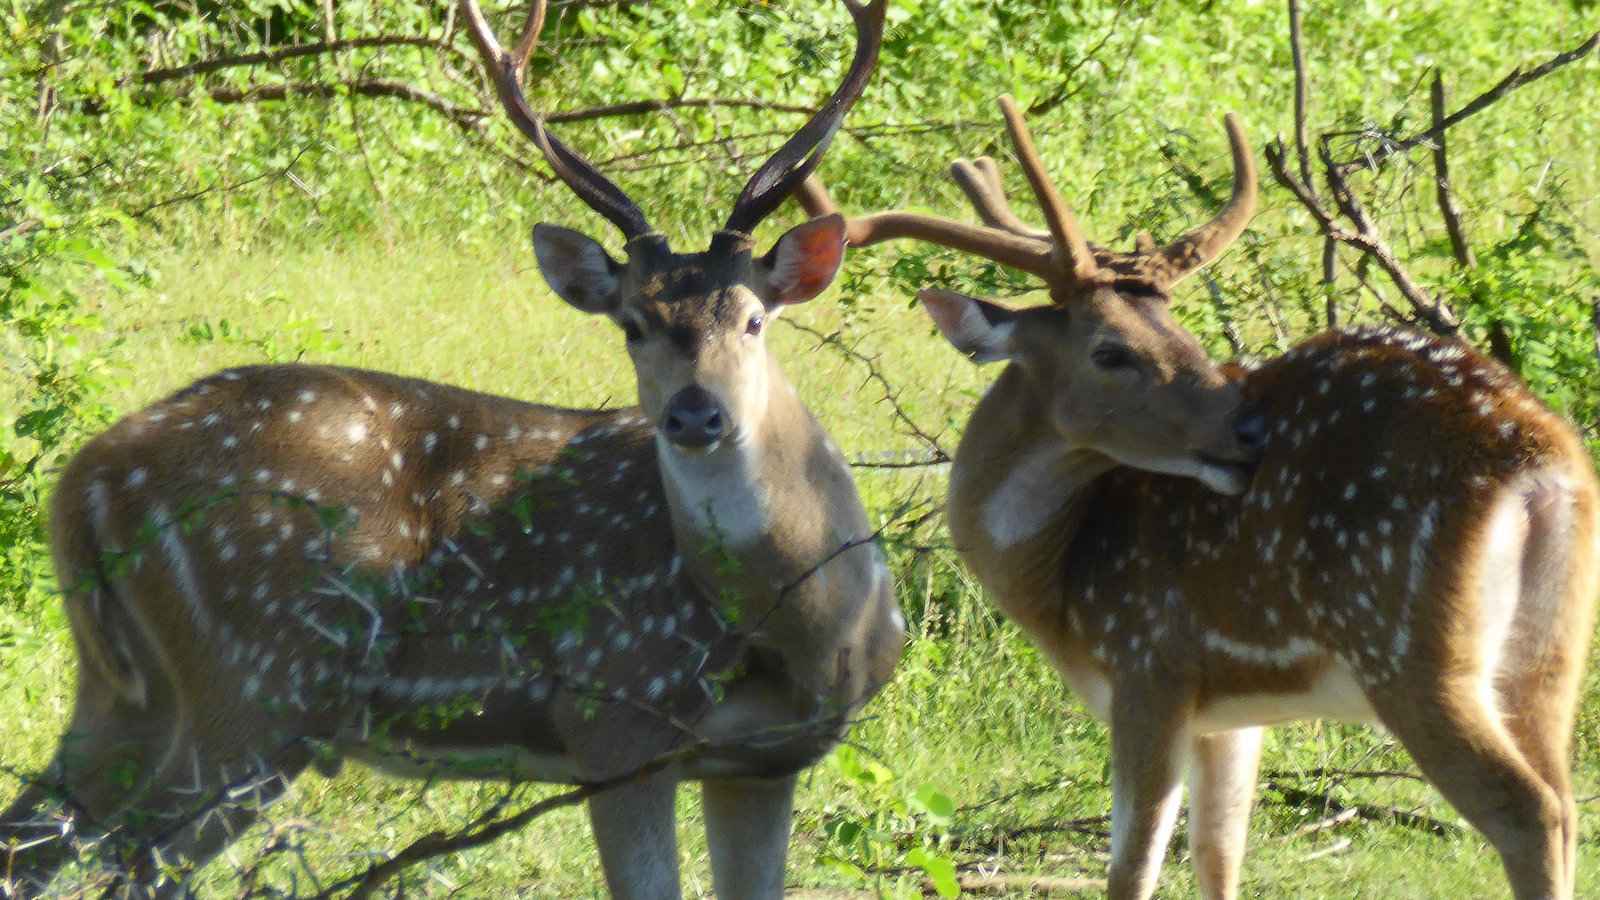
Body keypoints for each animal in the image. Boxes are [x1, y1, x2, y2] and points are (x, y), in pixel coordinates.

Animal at [0, 1, 902, 896]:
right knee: (132, 860)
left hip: (127, 691)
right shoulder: (614, 711)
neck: (812, 634)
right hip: (258, 680)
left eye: (753, 319)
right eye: (631, 324)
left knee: (36, 835)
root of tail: (86, 481)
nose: (694, 416)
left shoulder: (761, 763)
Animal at [796, 98, 1600, 896]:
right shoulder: (1231, 710)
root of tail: (1538, 462)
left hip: (1408, 647)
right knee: (1565, 801)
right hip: (1546, 658)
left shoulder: (1149, 661)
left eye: (1179, 331)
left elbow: (1133, 867)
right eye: (1111, 350)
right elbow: (1218, 854)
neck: (1060, 571)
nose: (1249, 428)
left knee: (1528, 810)